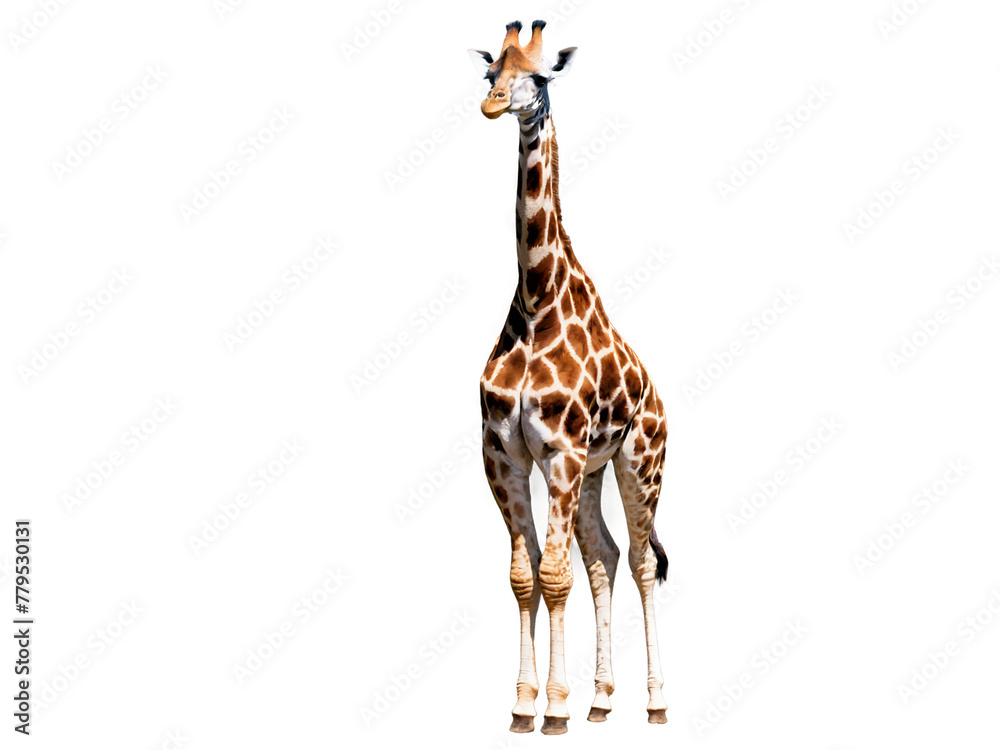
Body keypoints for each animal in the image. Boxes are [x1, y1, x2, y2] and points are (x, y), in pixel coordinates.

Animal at [468, 21, 670, 735]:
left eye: (540, 75)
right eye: (491, 71)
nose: (494, 105)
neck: (536, 302)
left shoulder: (557, 450)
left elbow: (553, 575)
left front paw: (552, 708)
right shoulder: (503, 451)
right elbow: (526, 576)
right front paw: (523, 705)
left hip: (639, 461)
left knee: (640, 560)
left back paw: (655, 702)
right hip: (591, 472)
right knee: (602, 555)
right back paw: (604, 700)